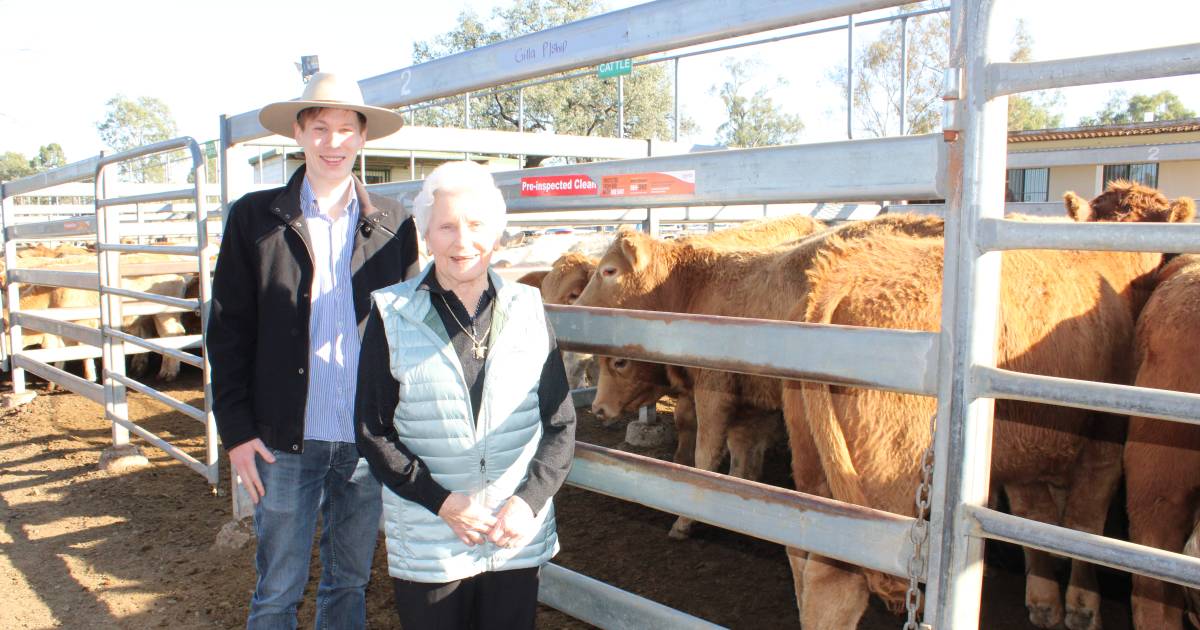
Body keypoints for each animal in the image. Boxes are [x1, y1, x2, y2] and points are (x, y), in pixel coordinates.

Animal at [792, 178, 1195, 624]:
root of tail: (845, 271)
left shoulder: (1026, 450)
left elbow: (1034, 516)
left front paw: (1044, 599)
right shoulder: (1103, 443)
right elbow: (1083, 524)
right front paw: (1082, 606)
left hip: (816, 474)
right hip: (886, 486)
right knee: (837, 583)